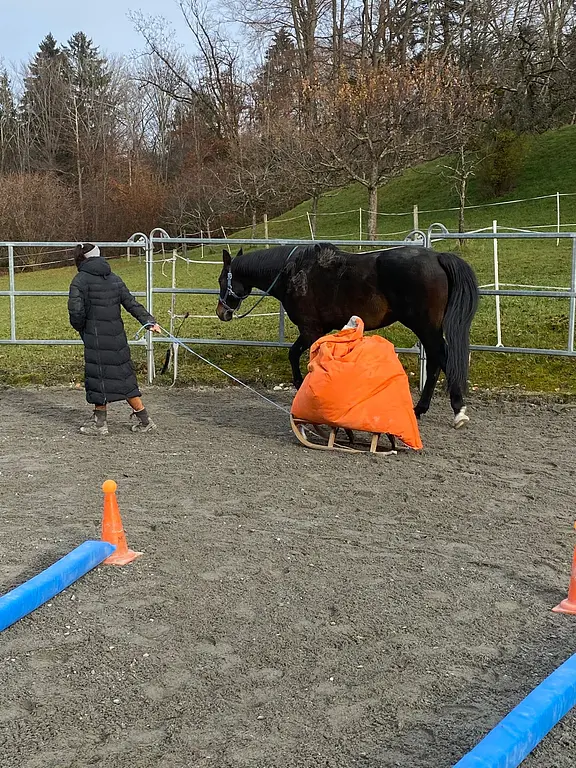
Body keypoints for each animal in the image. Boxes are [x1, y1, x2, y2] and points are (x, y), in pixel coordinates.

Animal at [216, 242, 479, 427]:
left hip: (424, 326)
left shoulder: (310, 329)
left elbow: (302, 358)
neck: (294, 272)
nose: (221, 312)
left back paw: (458, 410)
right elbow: (301, 356)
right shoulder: (318, 330)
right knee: (435, 361)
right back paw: (420, 409)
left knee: (441, 359)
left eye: (221, 280)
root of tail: (437, 257)